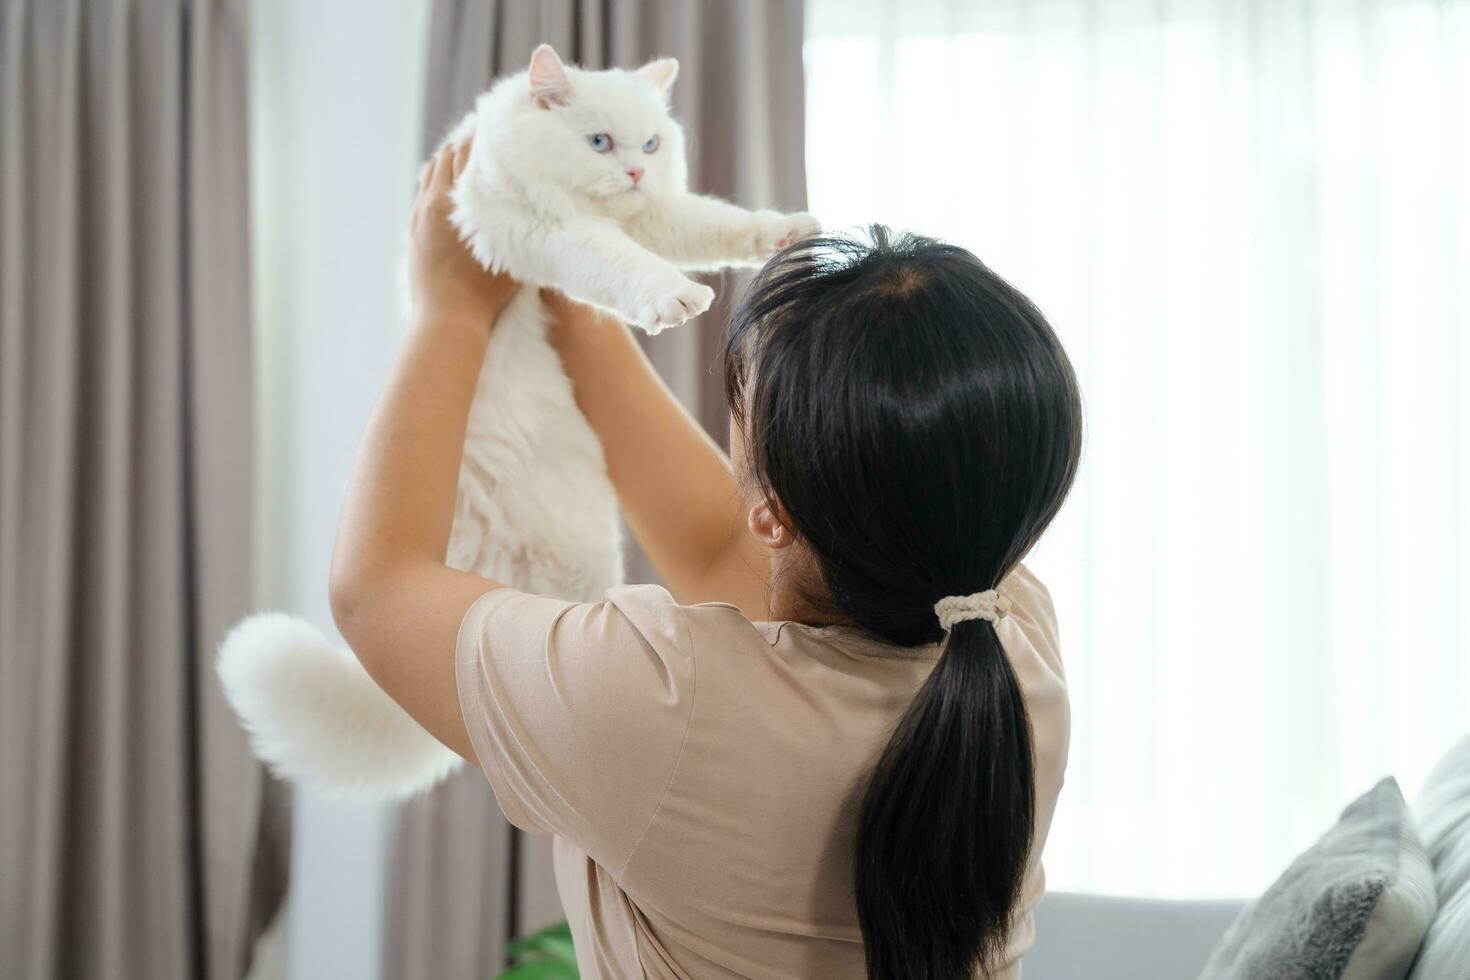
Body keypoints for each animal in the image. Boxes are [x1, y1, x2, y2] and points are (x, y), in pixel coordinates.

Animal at [214, 45, 817, 799]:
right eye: (600, 143)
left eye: (651, 144)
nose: (635, 172)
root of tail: (483, 556)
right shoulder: (552, 231)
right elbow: (624, 263)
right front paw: (673, 296)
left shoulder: (651, 216)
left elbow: (712, 222)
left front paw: (786, 230)